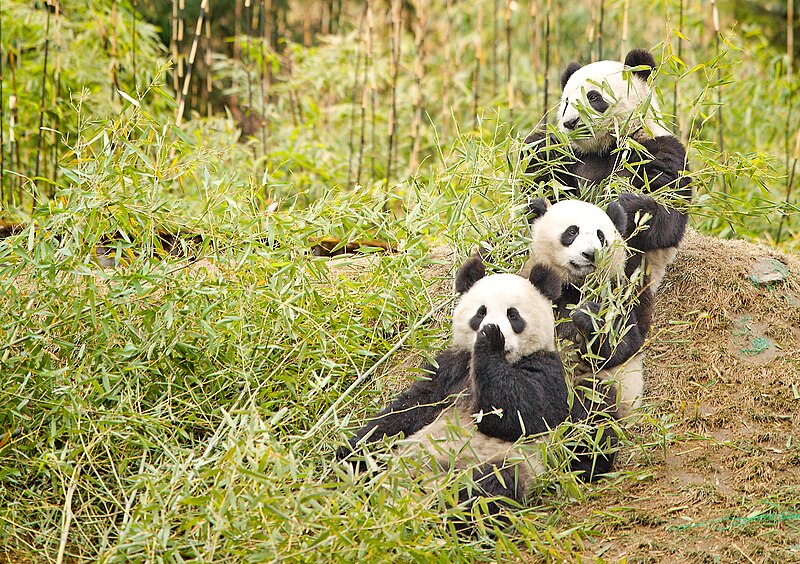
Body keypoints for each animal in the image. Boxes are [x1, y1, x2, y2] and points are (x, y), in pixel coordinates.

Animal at [338, 258, 620, 512]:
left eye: (513, 314)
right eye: (480, 312)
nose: (491, 326)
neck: (506, 360)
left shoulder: (546, 369)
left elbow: (522, 412)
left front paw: (491, 340)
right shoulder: (451, 369)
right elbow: (408, 409)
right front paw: (350, 447)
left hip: (498, 463)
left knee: (488, 490)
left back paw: (451, 512)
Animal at [520, 48, 692, 290]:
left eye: (593, 97)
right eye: (566, 103)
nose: (570, 123)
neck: (606, 147)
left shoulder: (658, 149)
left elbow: (666, 213)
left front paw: (626, 204)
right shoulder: (576, 158)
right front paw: (540, 149)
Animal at [524, 198, 648, 418]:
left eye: (601, 235)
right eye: (572, 231)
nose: (590, 254)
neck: (576, 285)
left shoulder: (616, 295)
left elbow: (624, 344)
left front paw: (588, 316)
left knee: (593, 399)